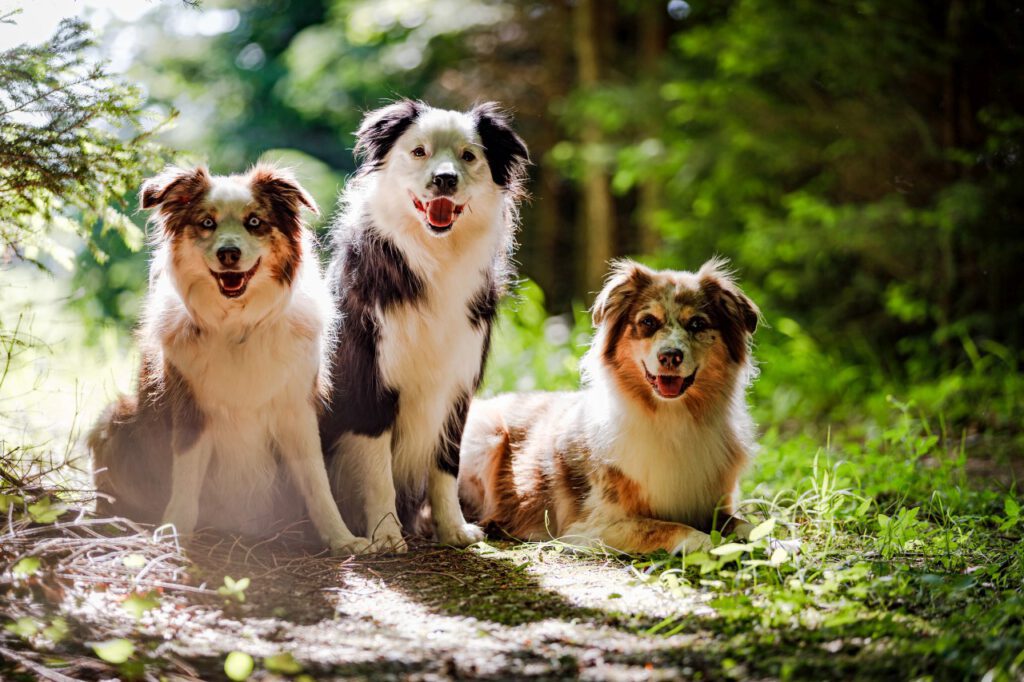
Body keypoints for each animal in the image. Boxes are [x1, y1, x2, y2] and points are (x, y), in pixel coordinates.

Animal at [88, 164, 368, 552]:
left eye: (255, 222)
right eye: (207, 222)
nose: (229, 253)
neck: (238, 323)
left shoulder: (296, 409)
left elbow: (316, 480)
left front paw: (342, 539)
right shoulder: (191, 406)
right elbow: (186, 476)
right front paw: (174, 531)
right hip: (115, 418)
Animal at [319, 99, 528, 548]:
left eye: (468, 156)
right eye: (419, 152)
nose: (445, 178)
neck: (435, 258)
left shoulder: (457, 387)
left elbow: (445, 466)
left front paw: (452, 529)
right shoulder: (371, 383)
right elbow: (378, 470)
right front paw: (386, 535)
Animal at [460, 256, 765, 552]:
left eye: (698, 324)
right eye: (648, 322)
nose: (670, 356)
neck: (671, 418)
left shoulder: (712, 506)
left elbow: (748, 525)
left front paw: (770, 541)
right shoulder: (595, 525)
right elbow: (675, 528)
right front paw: (717, 546)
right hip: (486, 437)